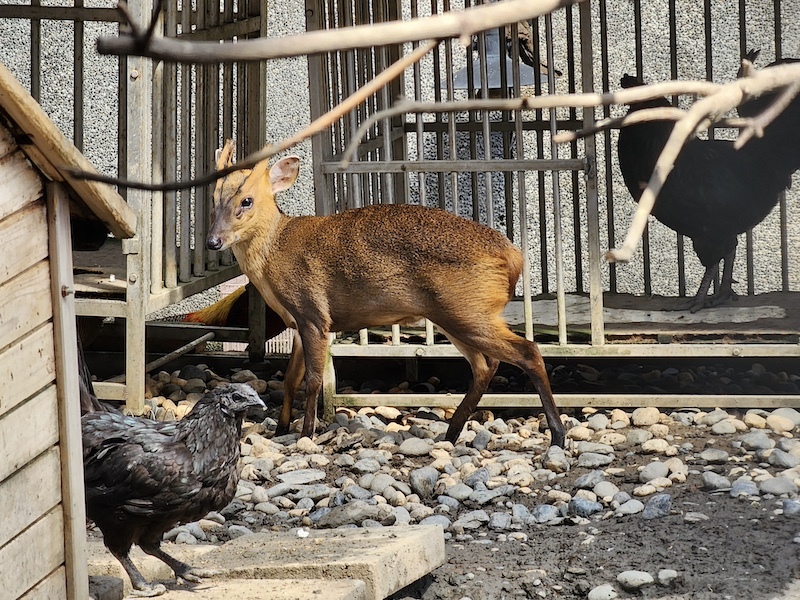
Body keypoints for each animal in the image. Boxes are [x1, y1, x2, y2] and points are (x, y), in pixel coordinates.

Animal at [208, 141, 568, 448]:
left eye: (246, 200)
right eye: (213, 198)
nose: (213, 241)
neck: (275, 251)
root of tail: (513, 258)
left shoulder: (313, 314)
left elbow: (312, 380)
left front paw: (306, 433)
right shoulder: (297, 322)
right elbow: (290, 380)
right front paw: (282, 428)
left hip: (468, 311)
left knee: (527, 352)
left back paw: (557, 435)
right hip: (456, 315)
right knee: (486, 365)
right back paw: (451, 433)